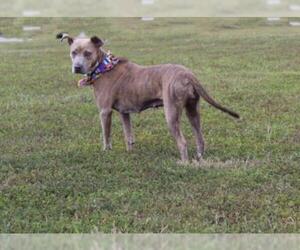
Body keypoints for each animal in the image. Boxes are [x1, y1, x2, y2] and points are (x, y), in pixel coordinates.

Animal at [56, 32, 239, 162]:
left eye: (87, 53)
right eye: (73, 53)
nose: (77, 67)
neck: (103, 67)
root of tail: (187, 74)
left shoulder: (105, 112)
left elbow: (106, 136)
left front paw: (106, 153)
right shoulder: (124, 113)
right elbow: (129, 136)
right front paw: (130, 153)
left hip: (171, 114)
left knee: (182, 142)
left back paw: (184, 163)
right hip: (192, 111)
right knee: (200, 137)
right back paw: (199, 158)